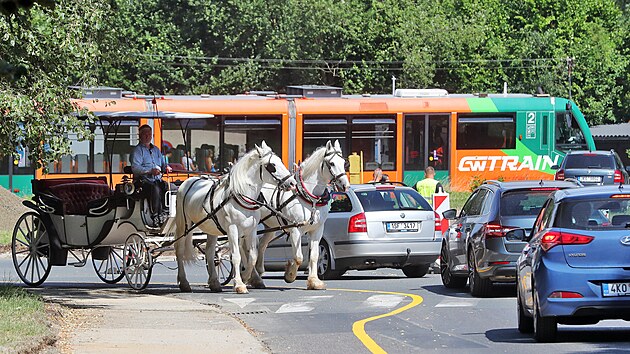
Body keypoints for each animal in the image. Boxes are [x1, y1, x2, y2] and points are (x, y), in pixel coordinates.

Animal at [174, 141, 298, 294]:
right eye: (272, 165)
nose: (292, 183)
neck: (241, 196)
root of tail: (188, 180)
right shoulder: (232, 229)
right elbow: (236, 256)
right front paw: (239, 284)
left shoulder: (251, 230)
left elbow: (252, 256)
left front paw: (246, 277)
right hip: (184, 225)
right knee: (179, 250)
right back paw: (184, 282)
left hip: (211, 228)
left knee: (209, 252)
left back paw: (214, 283)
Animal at [251, 140, 350, 290]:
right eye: (331, 163)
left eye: (344, 162)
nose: (345, 185)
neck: (309, 197)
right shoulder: (295, 229)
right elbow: (298, 257)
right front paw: (290, 274)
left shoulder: (317, 229)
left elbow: (314, 255)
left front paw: (314, 281)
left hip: (270, 226)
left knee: (262, 244)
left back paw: (258, 274)